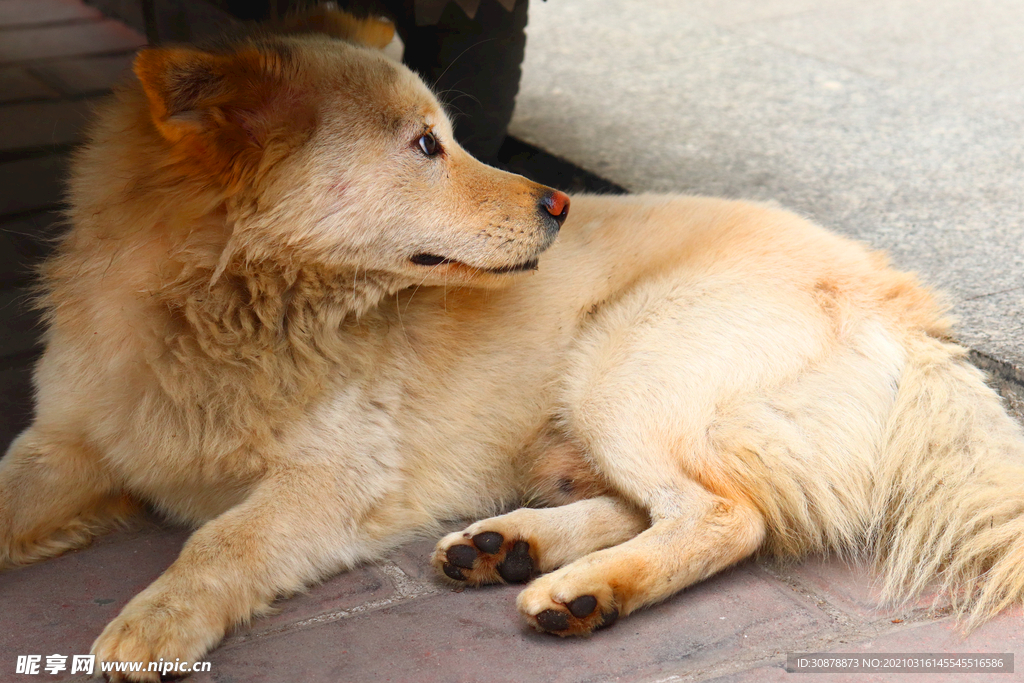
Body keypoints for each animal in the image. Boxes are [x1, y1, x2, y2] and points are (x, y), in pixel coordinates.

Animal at [2, 9, 1024, 679]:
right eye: (423, 146)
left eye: (450, 137)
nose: (559, 203)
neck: (218, 315)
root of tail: (908, 304)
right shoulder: (61, 441)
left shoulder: (329, 480)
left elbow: (219, 539)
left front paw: (156, 619)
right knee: (659, 501)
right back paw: (517, 549)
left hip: (624, 366)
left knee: (726, 513)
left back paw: (578, 589)